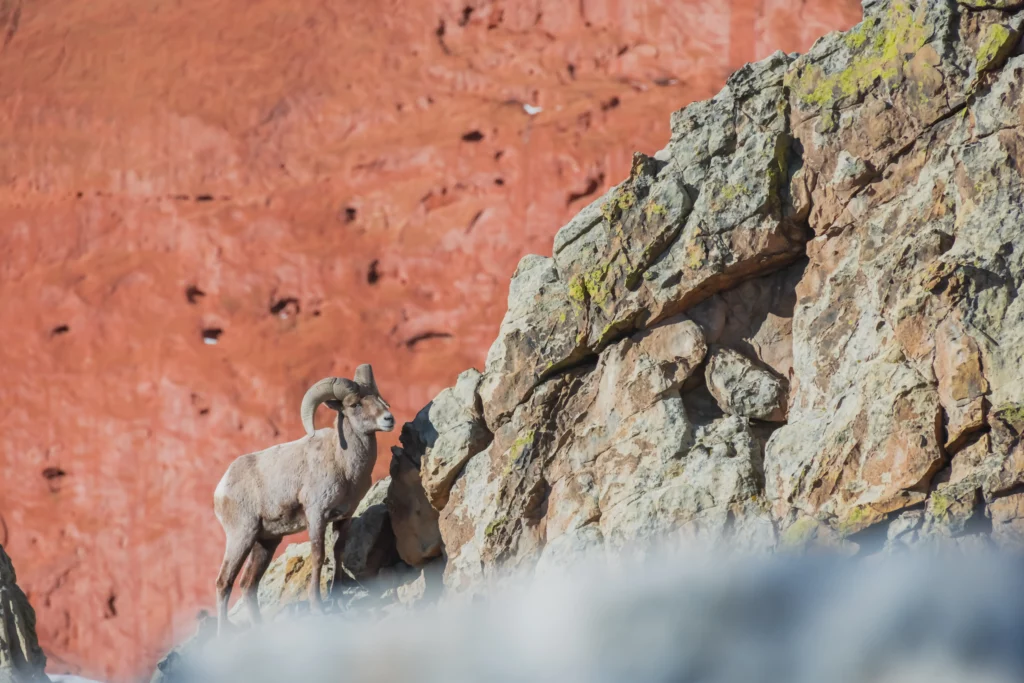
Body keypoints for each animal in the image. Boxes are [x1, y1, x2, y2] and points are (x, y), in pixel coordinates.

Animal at [212, 364, 394, 635]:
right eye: (354, 405)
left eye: (377, 397)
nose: (388, 419)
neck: (342, 463)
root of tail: (221, 488)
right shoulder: (316, 515)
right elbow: (319, 557)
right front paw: (317, 607)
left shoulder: (343, 517)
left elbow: (338, 553)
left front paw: (338, 599)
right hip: (241, 536)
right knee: (224, 582)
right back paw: (223, 635)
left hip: (265, 543)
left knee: (247, 584)